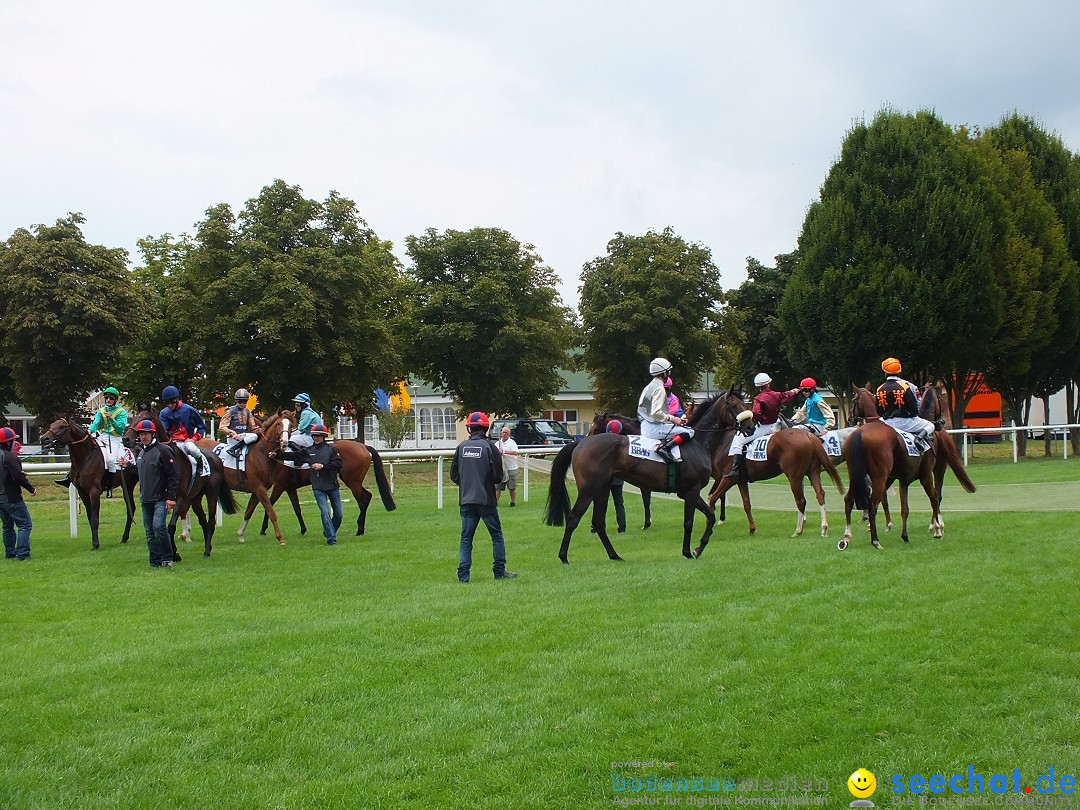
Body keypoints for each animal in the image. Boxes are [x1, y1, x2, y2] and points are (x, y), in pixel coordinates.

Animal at [39, 419, 138, 552]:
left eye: (61, 427)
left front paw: (96, 544)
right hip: (127, 485)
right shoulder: (82, 492)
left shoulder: (94, 491)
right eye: (51, 425)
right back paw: (124, 538)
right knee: (131, 508)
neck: (86, 457)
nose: (44, 438)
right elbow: (90, 517)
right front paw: (94, 542)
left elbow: (95, 518)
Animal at [125, 406, 237, 557]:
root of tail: (217, 458)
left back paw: (207, 551)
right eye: (134, 418)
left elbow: (171, 526)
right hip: (195, 498)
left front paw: (174, 553)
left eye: (144, 419)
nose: (125, 439)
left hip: (212, 493)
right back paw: (208, 546)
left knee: (211, 521)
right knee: (203, 520)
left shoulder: (180, 498)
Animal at [540, 393, 743, 565]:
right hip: (590, 489)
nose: (749, 425)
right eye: (734, 405)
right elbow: (688, 522)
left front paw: (698, 548)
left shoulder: (687, 492)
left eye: (742, 404)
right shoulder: (690, 491)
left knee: (598, 522)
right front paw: (687, 551)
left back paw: (614, 555)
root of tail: (580, 444)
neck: (698, 442)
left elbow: (709, 515)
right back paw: (564, 557)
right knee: (574, 518)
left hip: (602, 489)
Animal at [842, 386, 980, 552]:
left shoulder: (903, 480)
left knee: (849, 499)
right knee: (873, 504)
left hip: (857, 476)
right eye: (940, 399)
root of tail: (860, 433)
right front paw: (937, 531)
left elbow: (905, 509)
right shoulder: (925, 476)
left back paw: (847, 537)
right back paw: (876, 541)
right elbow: (932, 498)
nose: (942, 421)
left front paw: (904, 535)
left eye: (854, 399)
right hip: (889, 476)